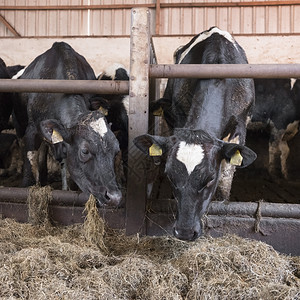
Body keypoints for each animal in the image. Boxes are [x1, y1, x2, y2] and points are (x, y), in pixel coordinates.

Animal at [11, 41, 122, 206]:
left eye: (116, 150)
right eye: (85, 151)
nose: (115, 197)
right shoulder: (32, 130)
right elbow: (30, 158)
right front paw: (26, 187)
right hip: (19, 125)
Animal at [134, 27, 255, 240]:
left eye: (210, 179)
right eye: (170, 176)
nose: (184, 231)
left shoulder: (241, 123)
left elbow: (227, 173)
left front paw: (223, 201)